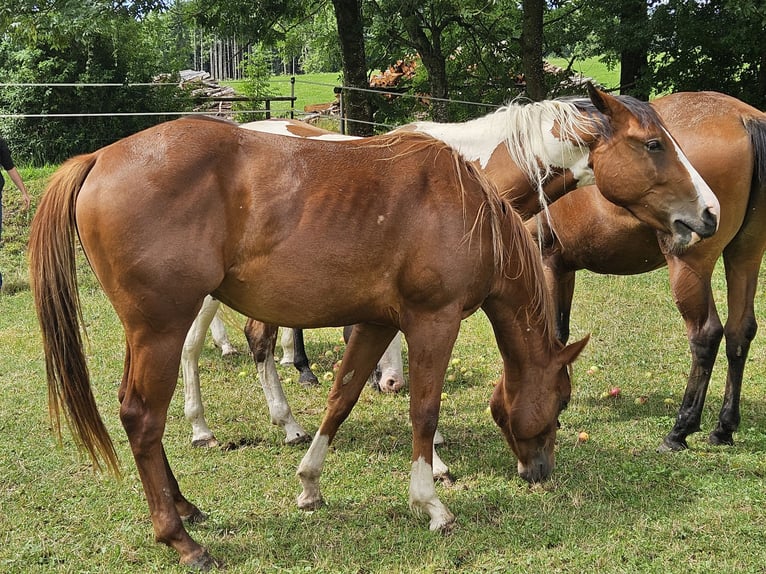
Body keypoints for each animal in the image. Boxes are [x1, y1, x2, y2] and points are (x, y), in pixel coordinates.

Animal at [29, 119, 589, 569]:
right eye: (561, 402)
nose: (541, 473)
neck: (465, 206)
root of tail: (100, 158)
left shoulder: (376, 323)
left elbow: (341, 398)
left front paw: (310, 484)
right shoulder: (434, 321)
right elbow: (424, 411)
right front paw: (430, 503)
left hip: (145, 334)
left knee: (136, 409)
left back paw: (185, 505)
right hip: (162, 331)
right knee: (143, 418)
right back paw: (181, 538)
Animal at [181, 85, 721, 453]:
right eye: (653, 144)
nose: (710, 211)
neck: (470, 171)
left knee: (244, 339)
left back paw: (278, 423)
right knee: (206, 342)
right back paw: (209, 427)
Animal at [526, 91, 766, 452]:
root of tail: (743, 116)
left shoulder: (546, 262)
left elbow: (552, 334)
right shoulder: (563, 267)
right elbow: (562, 333)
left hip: (690, 266)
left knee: (706, 335)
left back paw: (680, 429)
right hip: (745, 255)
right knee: (740, 332)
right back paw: (724, 428)